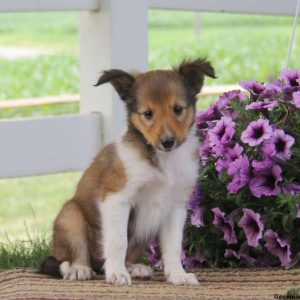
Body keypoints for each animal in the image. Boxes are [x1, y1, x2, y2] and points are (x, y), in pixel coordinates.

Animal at [39, 58, 214, 286]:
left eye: (178, 109)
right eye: (148, 113)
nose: (168, 142)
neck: (162, 161)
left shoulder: (175, 207)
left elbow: (173, 246)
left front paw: (178, 275)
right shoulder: (117, 199)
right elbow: (117, 241)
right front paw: (116, 273)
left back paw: (135, 267)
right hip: (71, 216)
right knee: (76, 253)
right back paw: (79, 269)